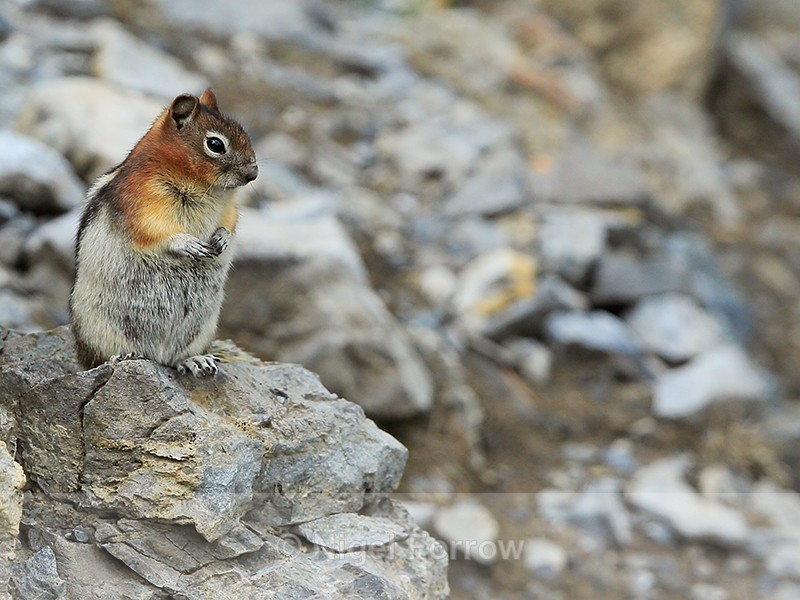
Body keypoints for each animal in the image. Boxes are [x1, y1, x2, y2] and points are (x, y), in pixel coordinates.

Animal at [69, 88, 257, 377]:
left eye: (243, 132)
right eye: (216, 144)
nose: (253, 173)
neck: (207, 190)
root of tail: (156, 354)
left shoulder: (229, 209)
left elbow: (231, 223)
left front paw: (222, 239)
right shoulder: (139, 204)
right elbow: (153, 231)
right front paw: (188, 244)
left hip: (200, 333)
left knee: (175, 358)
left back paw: (194, 360)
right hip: (97, 332)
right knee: (97, 359)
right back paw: (123, 356)